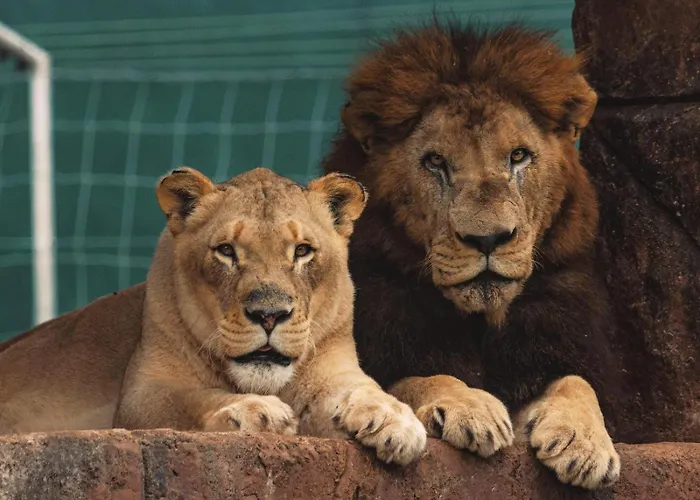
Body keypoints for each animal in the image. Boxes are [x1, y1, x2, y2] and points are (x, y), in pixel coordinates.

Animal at [112, 166, 426, 466]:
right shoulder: (140, 396)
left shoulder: (334, 368)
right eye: (226, 250)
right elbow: (191, 399)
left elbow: (363, 388)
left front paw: (394, 418)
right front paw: (254, 410)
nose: (269, 315)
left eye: (302, 250)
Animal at [322, 22, 623, 489]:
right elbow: (423, 377)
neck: (482, 322)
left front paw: (584, 441)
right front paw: (472, 408)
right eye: (435, 161)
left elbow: (576, 382)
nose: (488, 239)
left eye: (518, 156)